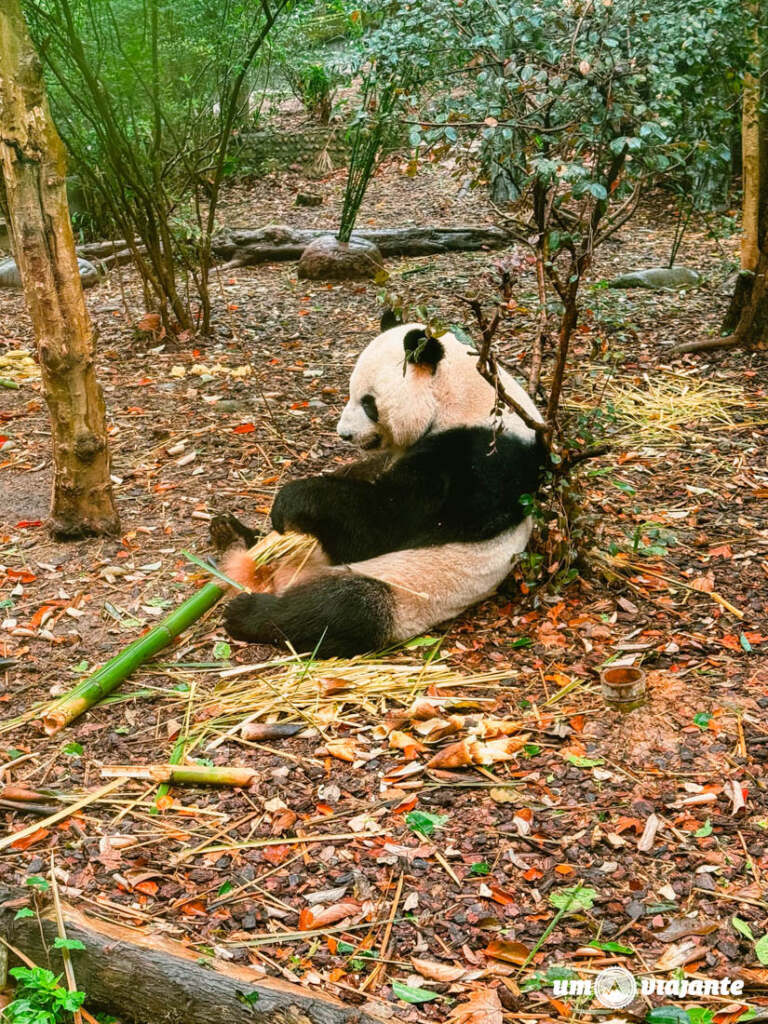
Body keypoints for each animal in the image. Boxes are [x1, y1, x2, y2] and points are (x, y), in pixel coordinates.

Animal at [218, 313, 546, 657]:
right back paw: (231, 535)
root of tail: (283, 578)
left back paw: (247, 612)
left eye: (368, 403)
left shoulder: (480, 461)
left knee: (339, 609)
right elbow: (364, 475)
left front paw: (292, 501)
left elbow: (385, 523)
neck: (462, 398)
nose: (344, 434)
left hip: (405, 589)